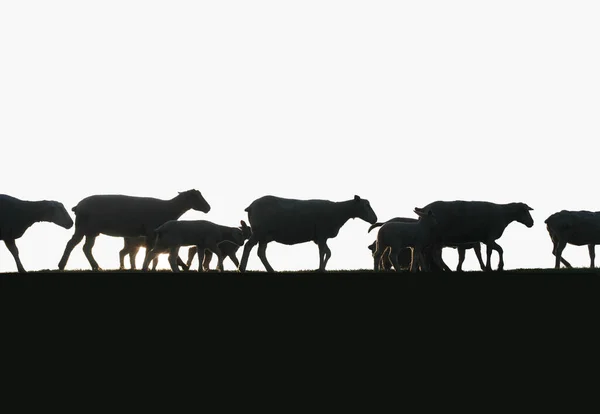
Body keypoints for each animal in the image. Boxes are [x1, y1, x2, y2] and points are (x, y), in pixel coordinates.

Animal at [57, 188, 210, 272]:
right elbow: (150, 250)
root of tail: (78, 206)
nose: (208, 208)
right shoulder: (151, 231)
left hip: (91, 231)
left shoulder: (154, 234)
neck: (170, 208)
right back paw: (62, 265)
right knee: (71, 244)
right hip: (82, 227)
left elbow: (151, 250)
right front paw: (145, 266)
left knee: (87, 248)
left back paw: (96, 267)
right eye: (196, 197)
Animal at [238, 196, 376, 274]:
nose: (375, 219)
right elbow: (322, 252)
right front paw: (320, 269)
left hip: (264, 235)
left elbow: (328, 252)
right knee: (248, 246)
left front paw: (322, 269)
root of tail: (250, 207)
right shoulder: (321, 235)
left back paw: (271, 270)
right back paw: (242, 268)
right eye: (366, 206)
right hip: (259, 232)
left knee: (261, 252)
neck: (339, 211)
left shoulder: (320, 238)